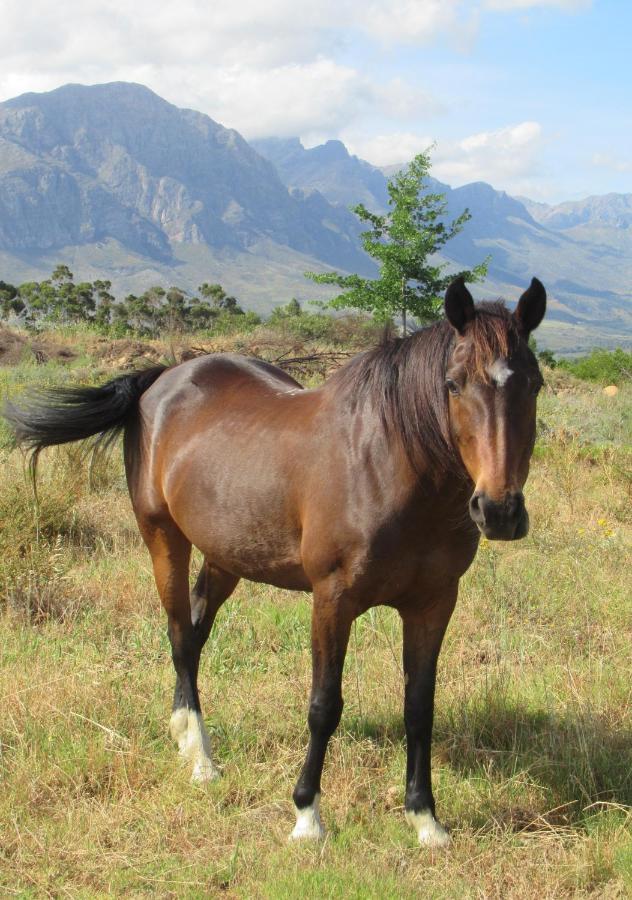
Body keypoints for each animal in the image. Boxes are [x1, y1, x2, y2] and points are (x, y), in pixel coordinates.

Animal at [4, 278, 544, 848]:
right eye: (453, 384)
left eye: (533, 386)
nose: (499, 511)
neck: (391, 463)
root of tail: (163, 379)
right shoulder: (333, 599)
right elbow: (324, 706)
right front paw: (307, 815)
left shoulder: (433, 603)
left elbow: (419, 708)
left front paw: (425, 820)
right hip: (163, 538)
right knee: (179, 636)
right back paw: (202, 759)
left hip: (225, 555)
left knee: (194, 634)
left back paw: (185, 736)